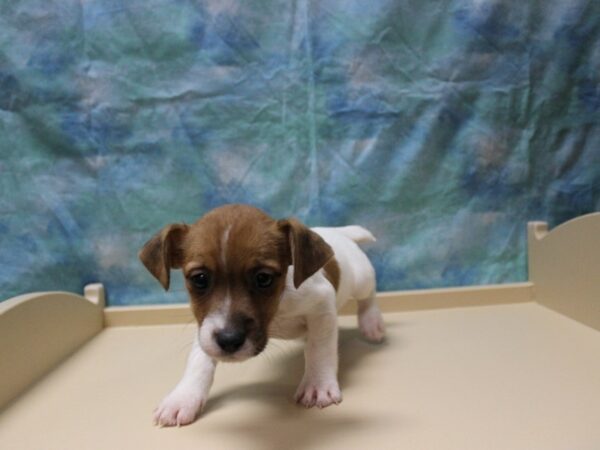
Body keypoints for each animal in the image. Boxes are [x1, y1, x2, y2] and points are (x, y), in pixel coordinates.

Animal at [140, 204, 384, 426]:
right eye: (199, 279)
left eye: (263, 278)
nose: (229, 340)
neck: (278, 307)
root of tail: (340, 233)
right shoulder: (205, 327)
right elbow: (198, 360)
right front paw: (183, 398)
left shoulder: (321, 308)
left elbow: (320, 350)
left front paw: (318, 385)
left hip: (361, 280)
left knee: (369, 294)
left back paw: (372, 323)